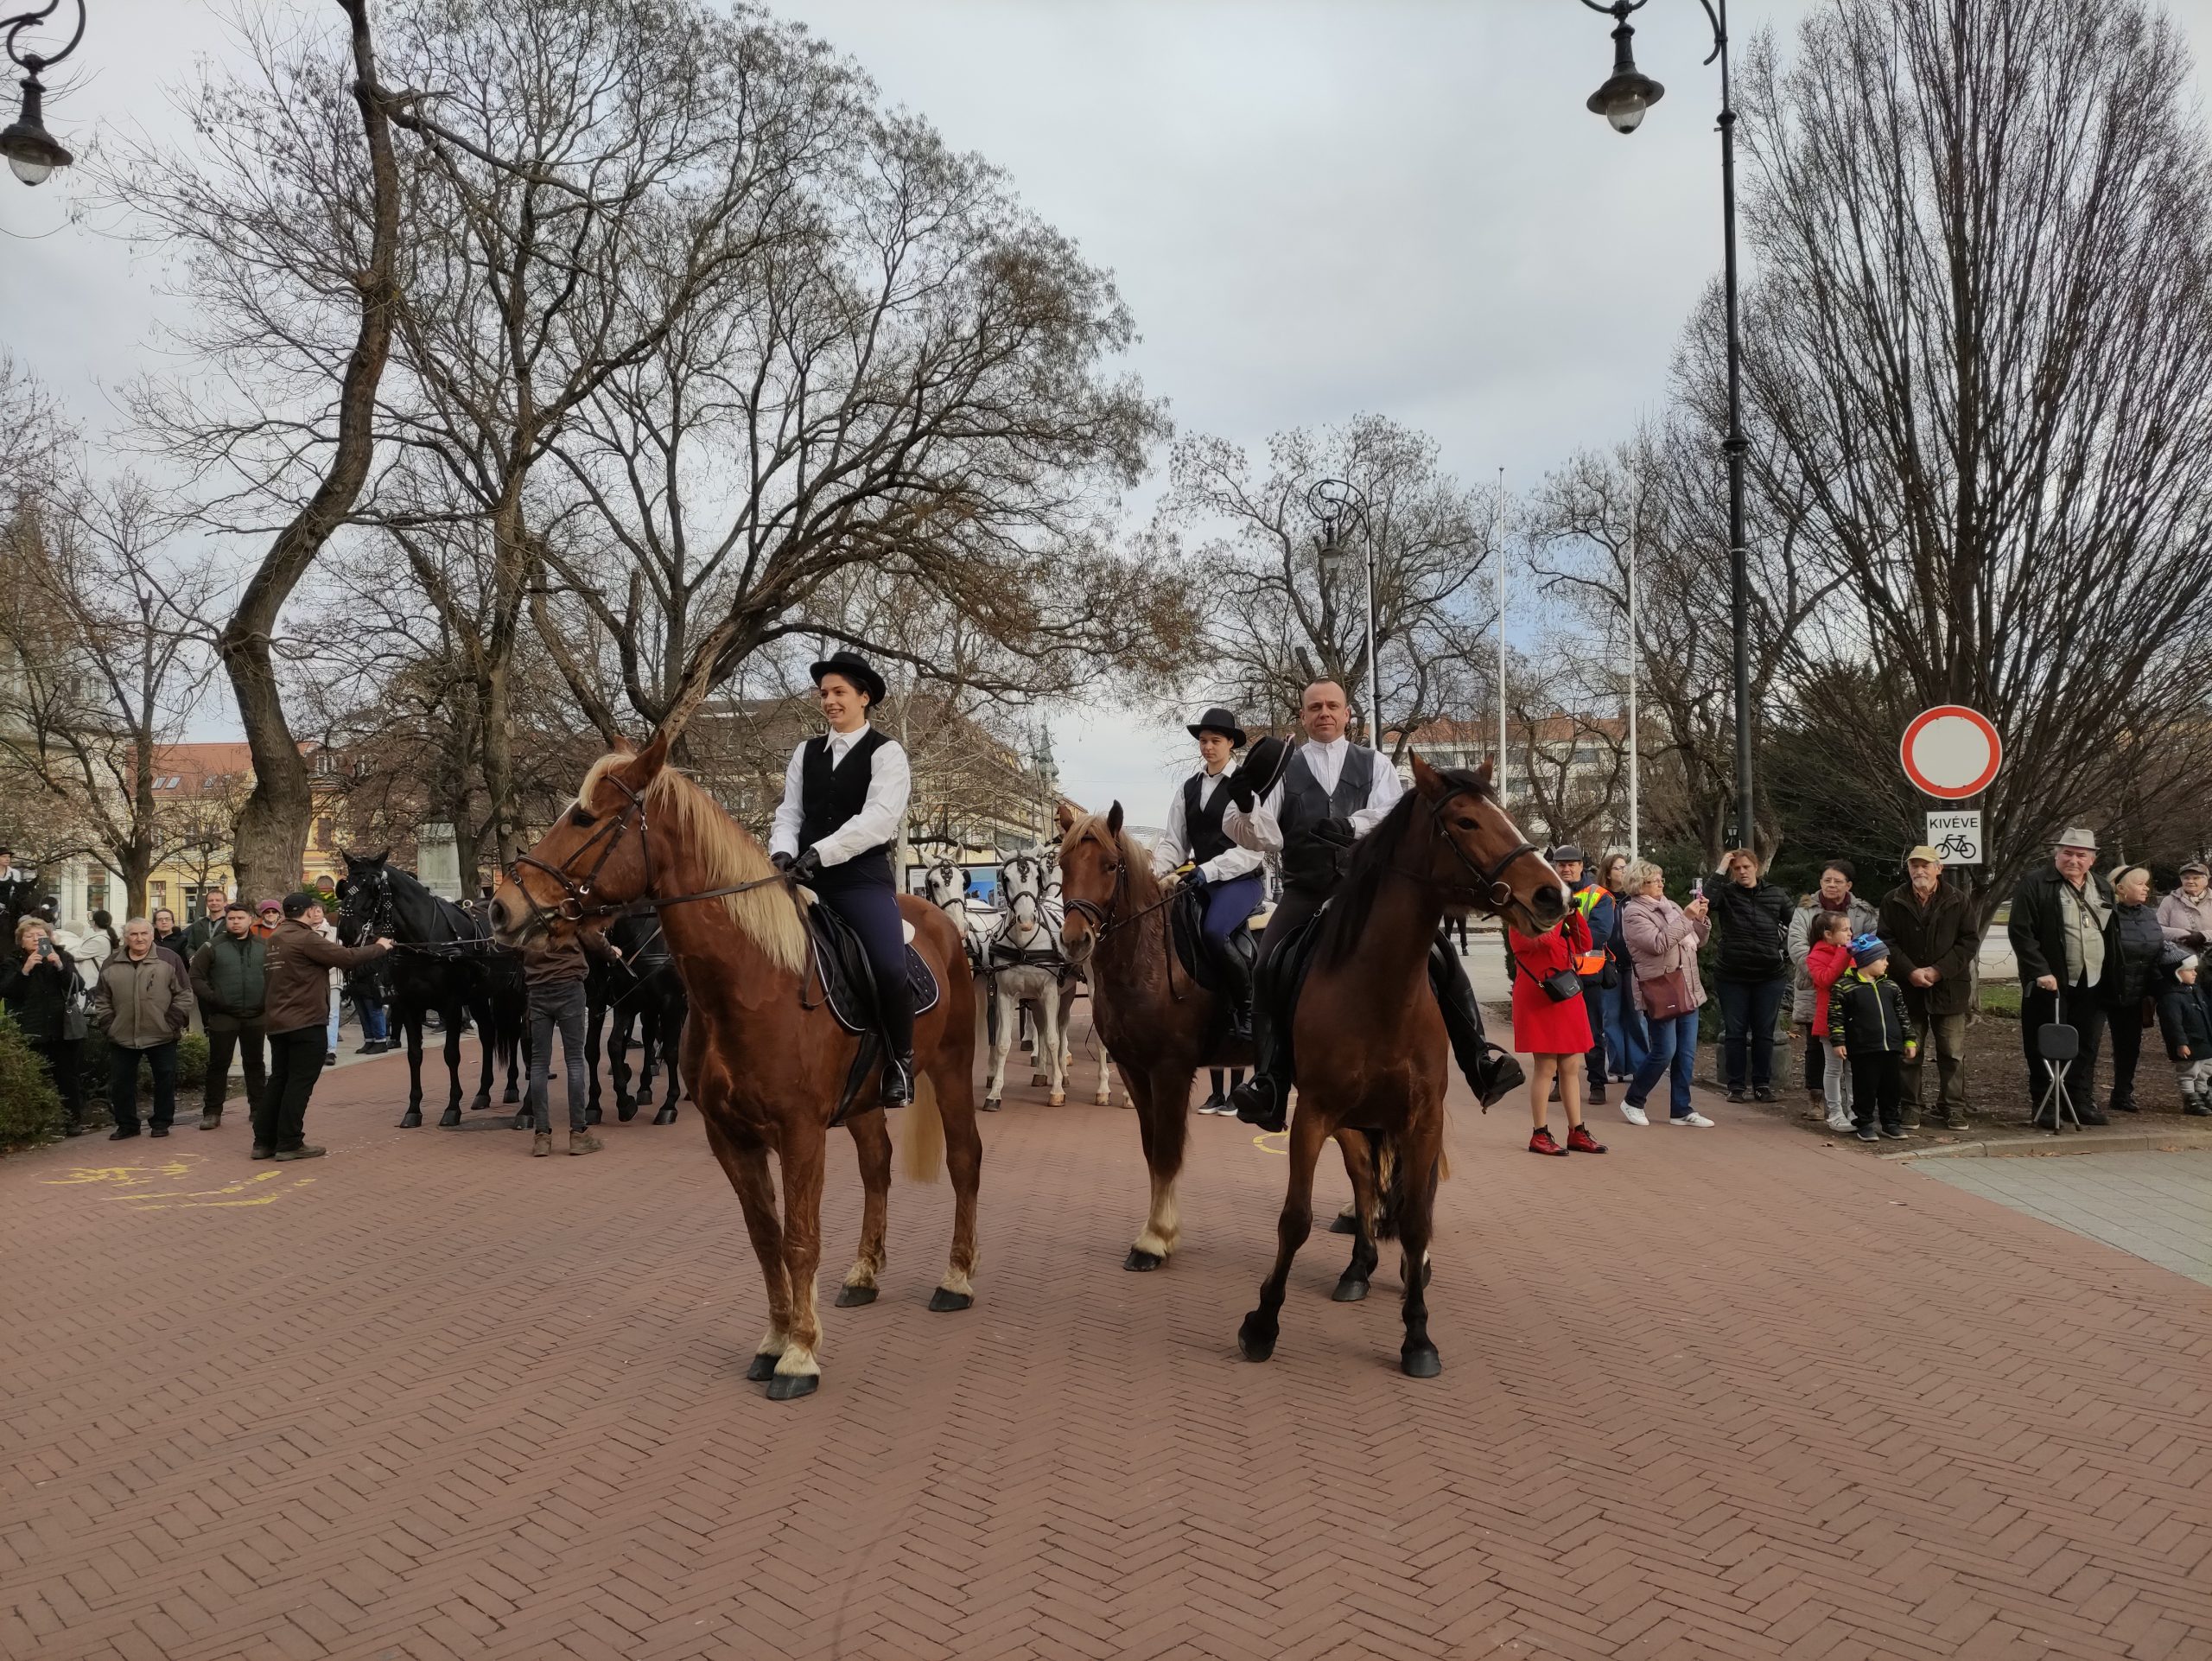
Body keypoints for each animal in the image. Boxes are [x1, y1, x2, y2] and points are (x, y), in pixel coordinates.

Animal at [338, 851, 528, 1128]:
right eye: (345, 885)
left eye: (373, 887)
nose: (345, 931)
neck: (425, 942)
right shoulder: (410, 1005)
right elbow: (414, 1055)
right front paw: (413, 1109)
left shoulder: (451, 1004)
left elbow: (451, 1054)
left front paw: (452, 1107)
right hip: (480, 996)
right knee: (488, 1034)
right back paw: (483, 1092)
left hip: (514, 992)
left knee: (515, 1034)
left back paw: (512, 1086)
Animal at [491, 734, 982, 1402]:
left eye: (586, 818)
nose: (499, 907)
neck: (754, 980)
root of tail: (944, 924)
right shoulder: (730, 1136)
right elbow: (765, 1237)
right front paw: (776, 1339)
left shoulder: (800, 1135)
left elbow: (800, 1239)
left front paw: (800, 1355)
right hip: (863, 1103)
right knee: (877, 1169)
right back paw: (864, 1274)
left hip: (953, 1071)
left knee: (964, 1161)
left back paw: (956, 1279)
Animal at [1234, 756, 1564, 1379]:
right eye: (1465, 821)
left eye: (1503, 811)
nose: (1553, 894)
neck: (1380, 989)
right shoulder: (1315, 1116)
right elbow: (1297, 1218)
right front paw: (1262, 1323)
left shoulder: (1423, 1119)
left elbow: (1415, 1218)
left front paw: (1417, 1336)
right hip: (1349, 1122)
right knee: (1365, 1180)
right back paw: (1358, 1266)